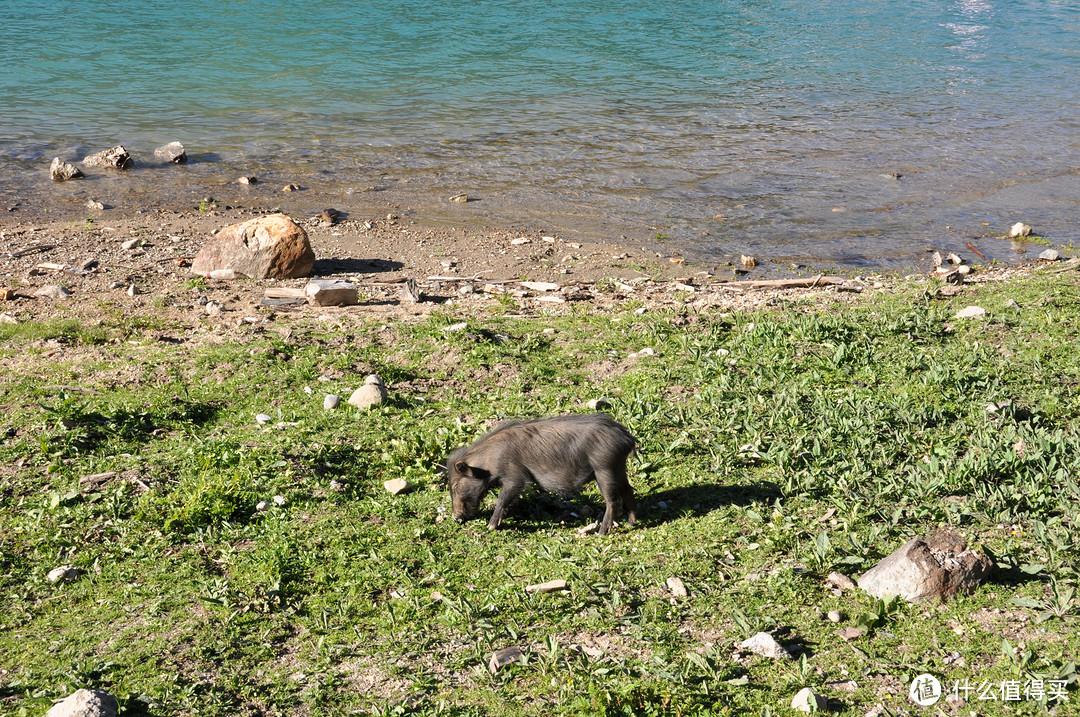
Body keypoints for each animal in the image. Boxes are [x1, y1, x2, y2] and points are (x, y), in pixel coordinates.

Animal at [444, 412, 635, 535]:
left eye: (455, 485)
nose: (454, 517)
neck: (488, 463)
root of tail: (627, 438)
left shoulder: (515, 476)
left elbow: (503, 498)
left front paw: (491, 526)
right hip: (618, 468)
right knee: (629, 491)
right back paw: (630, 524)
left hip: (604, 469)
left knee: (612, 501)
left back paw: (601, 533)